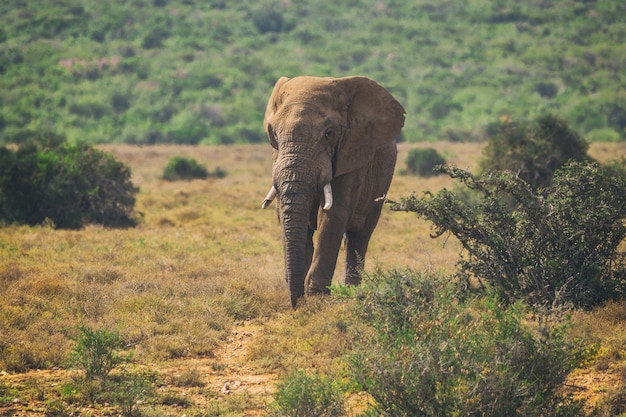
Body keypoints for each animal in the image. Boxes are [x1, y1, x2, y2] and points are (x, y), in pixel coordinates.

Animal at [260, 76, 402, 308]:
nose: (296, 304)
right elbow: (287, 216)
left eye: (329, 133)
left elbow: (332, 215)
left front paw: (317, 299)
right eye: (273, 134)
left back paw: (352, 294)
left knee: (359, 237)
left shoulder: (352, 155)